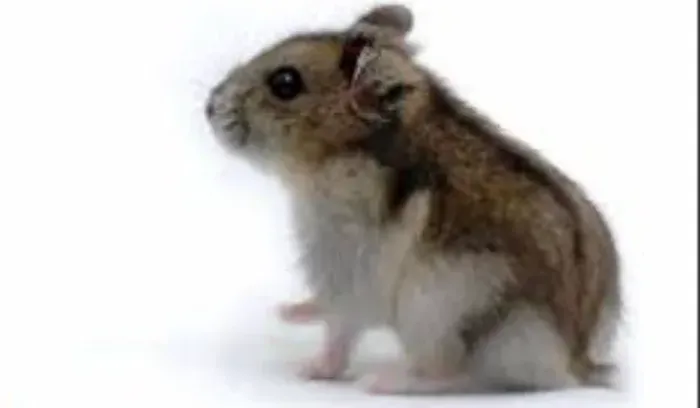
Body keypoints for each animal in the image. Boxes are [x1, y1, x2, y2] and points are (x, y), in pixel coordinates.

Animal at [205, 4, 622, 395]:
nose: (208, 106)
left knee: (455, 375)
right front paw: (286, 312)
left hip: (439, 311)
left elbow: (339, 332)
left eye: (285, 83)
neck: (336, 158)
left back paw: (382, 382)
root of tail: (574, 363)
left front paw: (308, 369)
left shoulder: (345, 269)